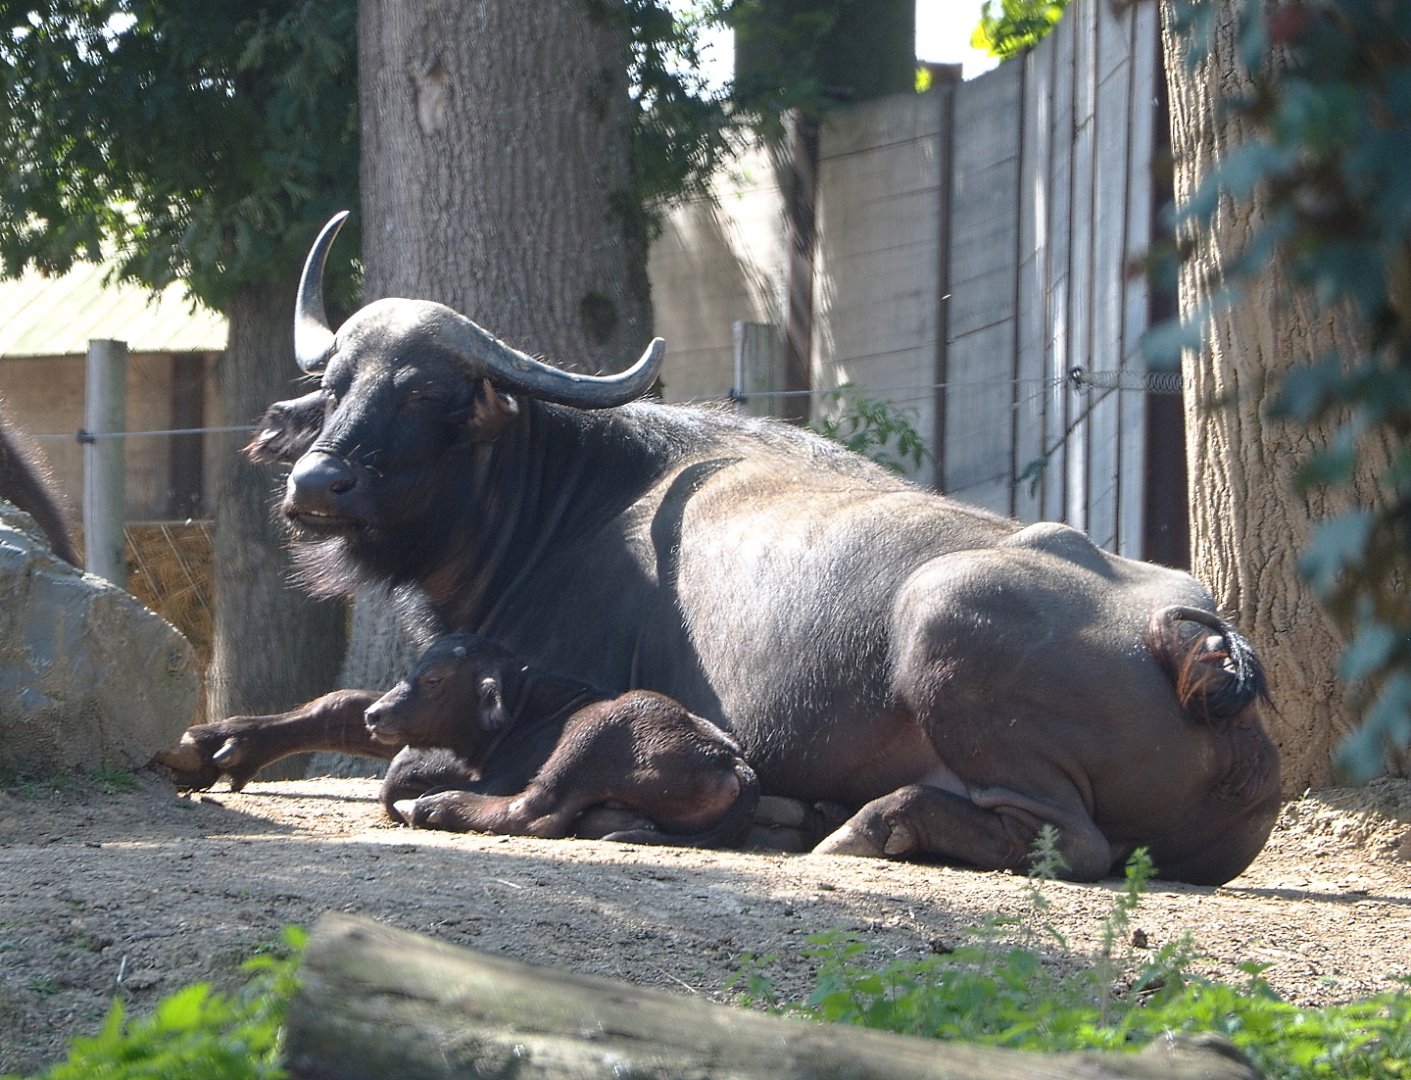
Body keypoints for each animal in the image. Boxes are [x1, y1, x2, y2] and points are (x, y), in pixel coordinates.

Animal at [357, 632, 759, 847]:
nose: (374, 714)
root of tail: (730, 759)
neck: (523, 708)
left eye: (434, 679)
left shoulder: (499, 779)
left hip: (590, 741)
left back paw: (432, 806)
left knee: (535, 813)